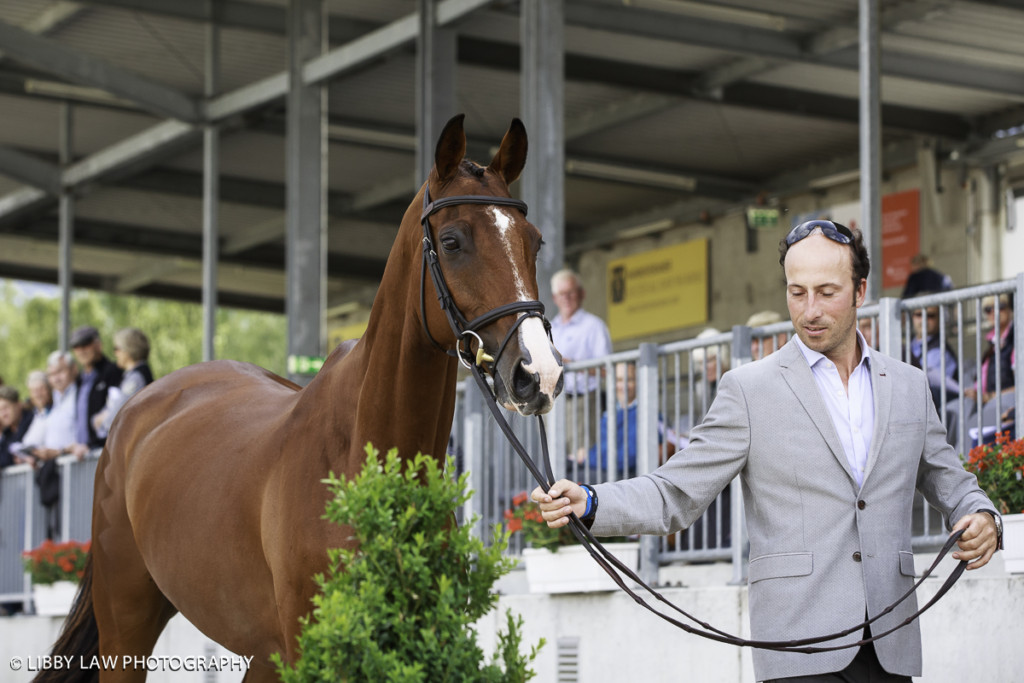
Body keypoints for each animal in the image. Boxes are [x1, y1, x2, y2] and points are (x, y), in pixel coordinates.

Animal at [39, 114, 565, 679]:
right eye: (450, 242)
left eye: (535, 242)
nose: (539, 373)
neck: (361, 459)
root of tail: (135, 413)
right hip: (127, 623)